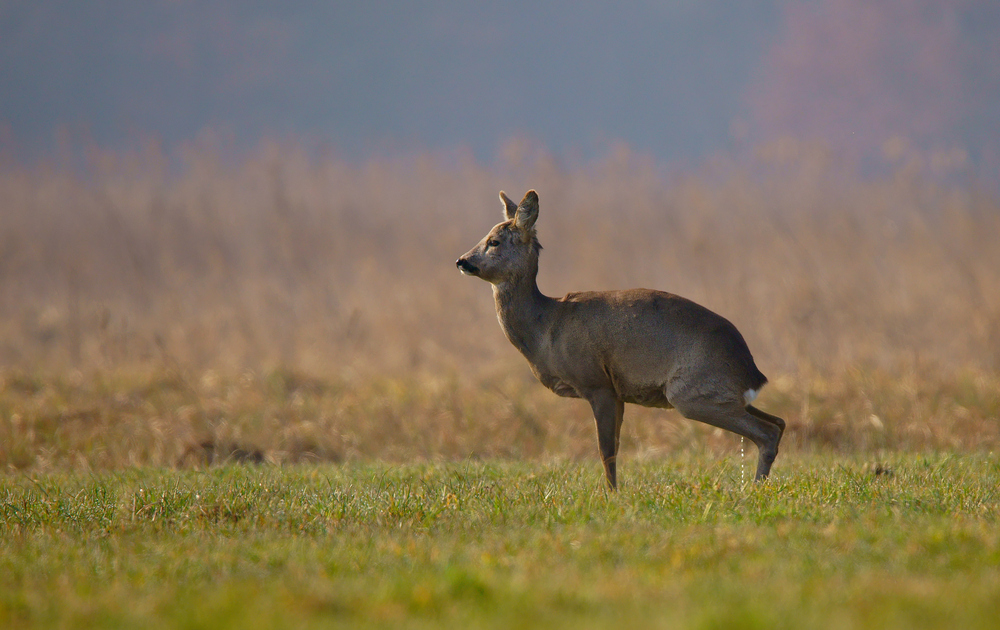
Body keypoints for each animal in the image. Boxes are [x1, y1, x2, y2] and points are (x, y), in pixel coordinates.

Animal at [458, 190, 784, 492]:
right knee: (778, 423)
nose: (462, 261)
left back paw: (755, 489)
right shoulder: (618, 392)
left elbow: (606, 450)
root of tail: (751, 370)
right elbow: (612, 447)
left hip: (693, 391)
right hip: (722, 395)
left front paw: (611, 494)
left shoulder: (597, 383)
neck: (546, 327)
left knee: (766, 432)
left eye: (494, 241)